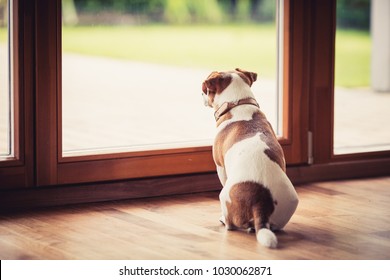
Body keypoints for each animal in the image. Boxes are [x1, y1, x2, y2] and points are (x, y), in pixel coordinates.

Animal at [201, 69, 298, 248]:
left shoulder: (220, 167)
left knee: (231, 225)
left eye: (205, 89)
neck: (239, 103)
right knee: (276, 226)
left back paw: (225, 221)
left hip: (224, 196)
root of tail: (261, 202)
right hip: (291, 201)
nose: (200, 93)